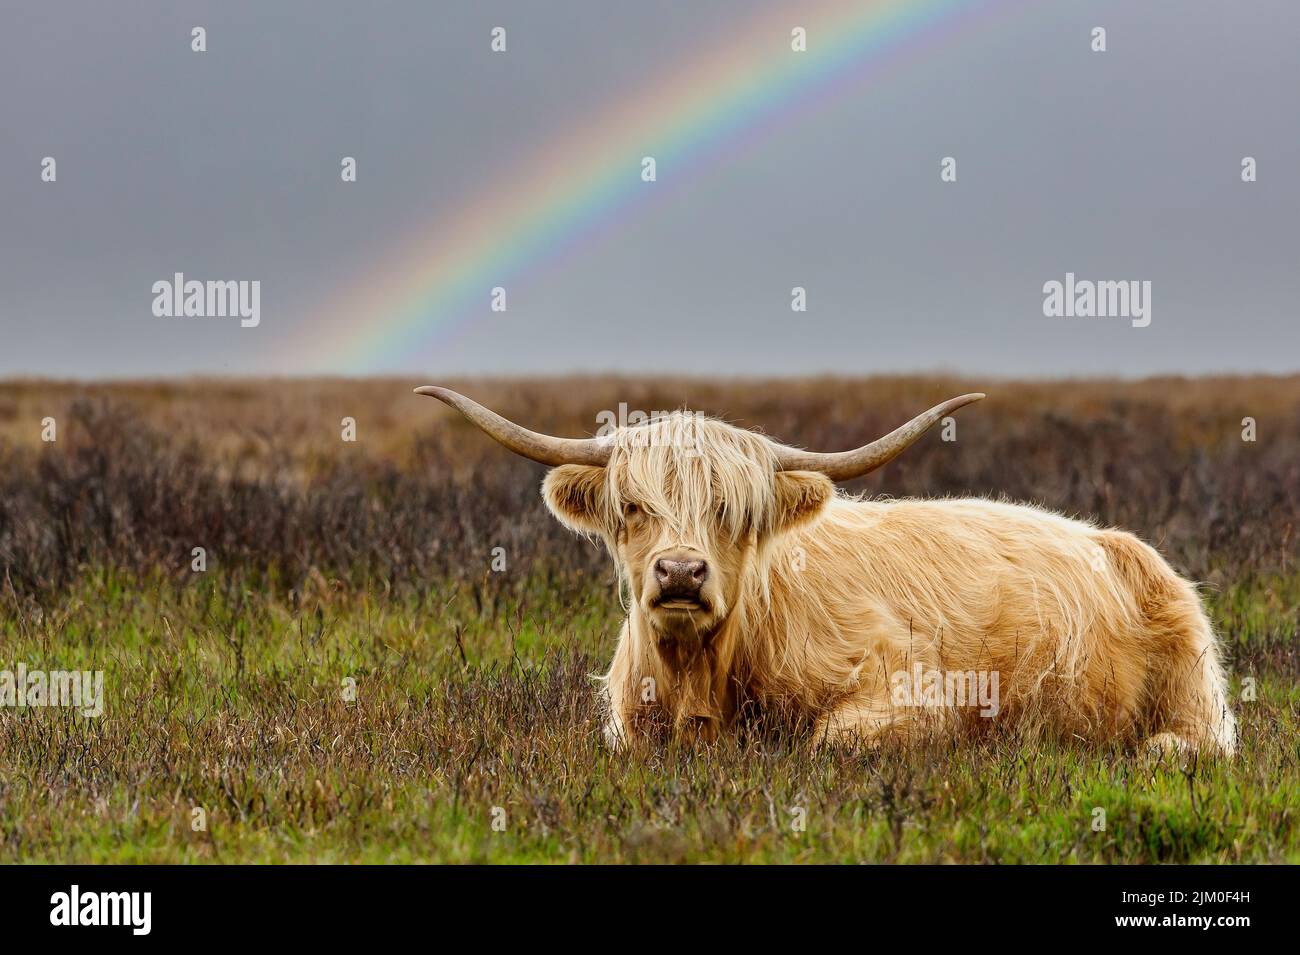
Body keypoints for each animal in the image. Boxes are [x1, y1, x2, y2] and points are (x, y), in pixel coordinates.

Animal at [418, 384, 1237, 758]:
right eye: (632, 506)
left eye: (731, 509)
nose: (680, 573)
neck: (700, 677)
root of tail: (1114, 541)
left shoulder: (914, 692)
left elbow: (829, 739)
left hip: (1193, 689)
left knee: (1194, 739)